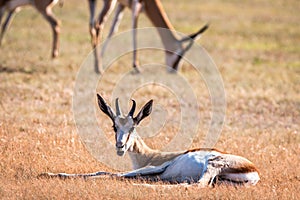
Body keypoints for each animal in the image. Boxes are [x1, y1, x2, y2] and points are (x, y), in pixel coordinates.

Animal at [42, 94, 260, 187]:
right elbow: (104, 171)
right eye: (114, 127)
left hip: (212, 165)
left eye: (133, 127)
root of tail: (254, 171)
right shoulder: (155, 173)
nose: (120, 146)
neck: (150, 156)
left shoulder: (155, 168)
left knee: (196, 185)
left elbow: (110, 173)